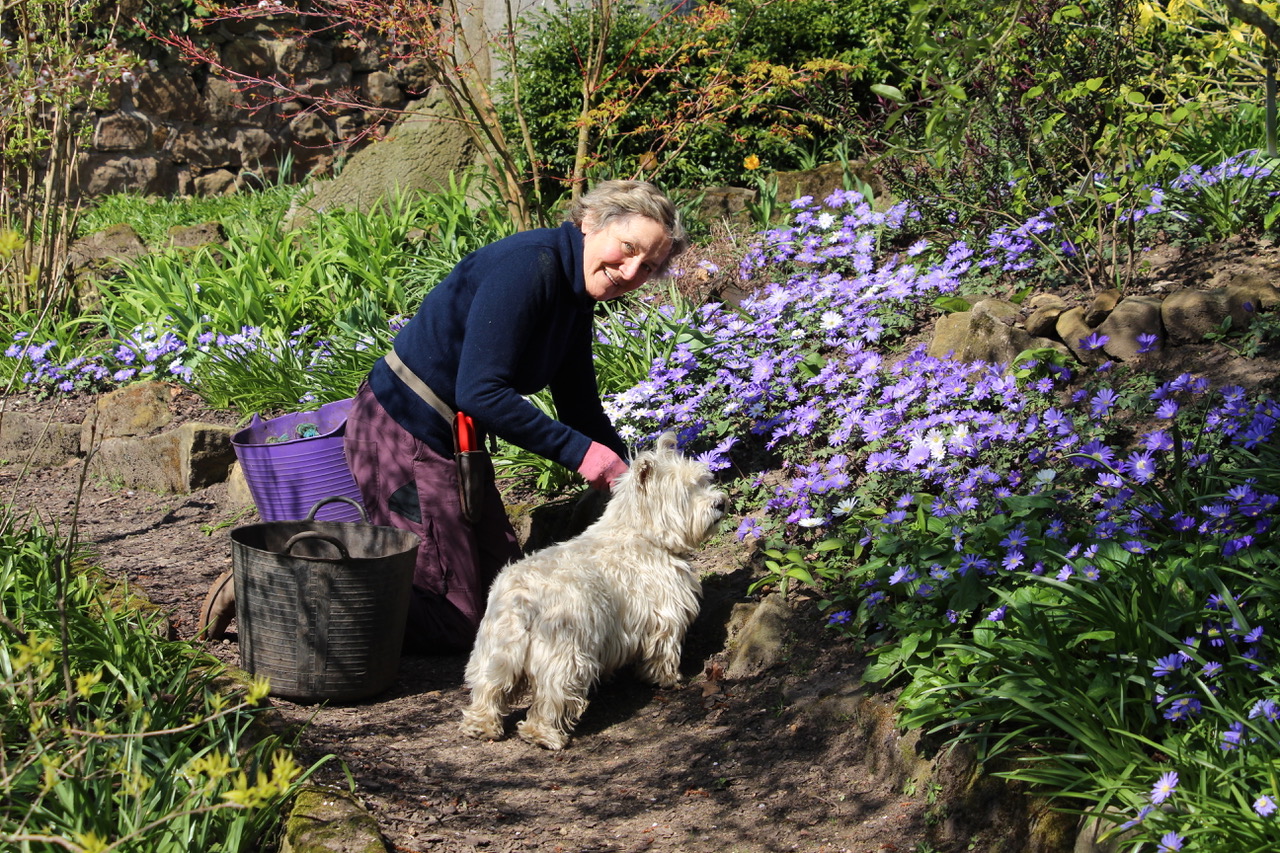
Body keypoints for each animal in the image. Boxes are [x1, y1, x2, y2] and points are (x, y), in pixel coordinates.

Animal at [460, 432, 727, 742]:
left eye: (704, 481)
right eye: (688, 492)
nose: (721, 502)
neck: (641, 532)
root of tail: (521, 599)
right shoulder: (665, 615)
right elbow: (663, 651)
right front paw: (667, 679)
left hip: (496, 651)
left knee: (488, 687)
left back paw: (481, 725)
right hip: (564, 655)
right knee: (552, 696)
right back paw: (544, 735)